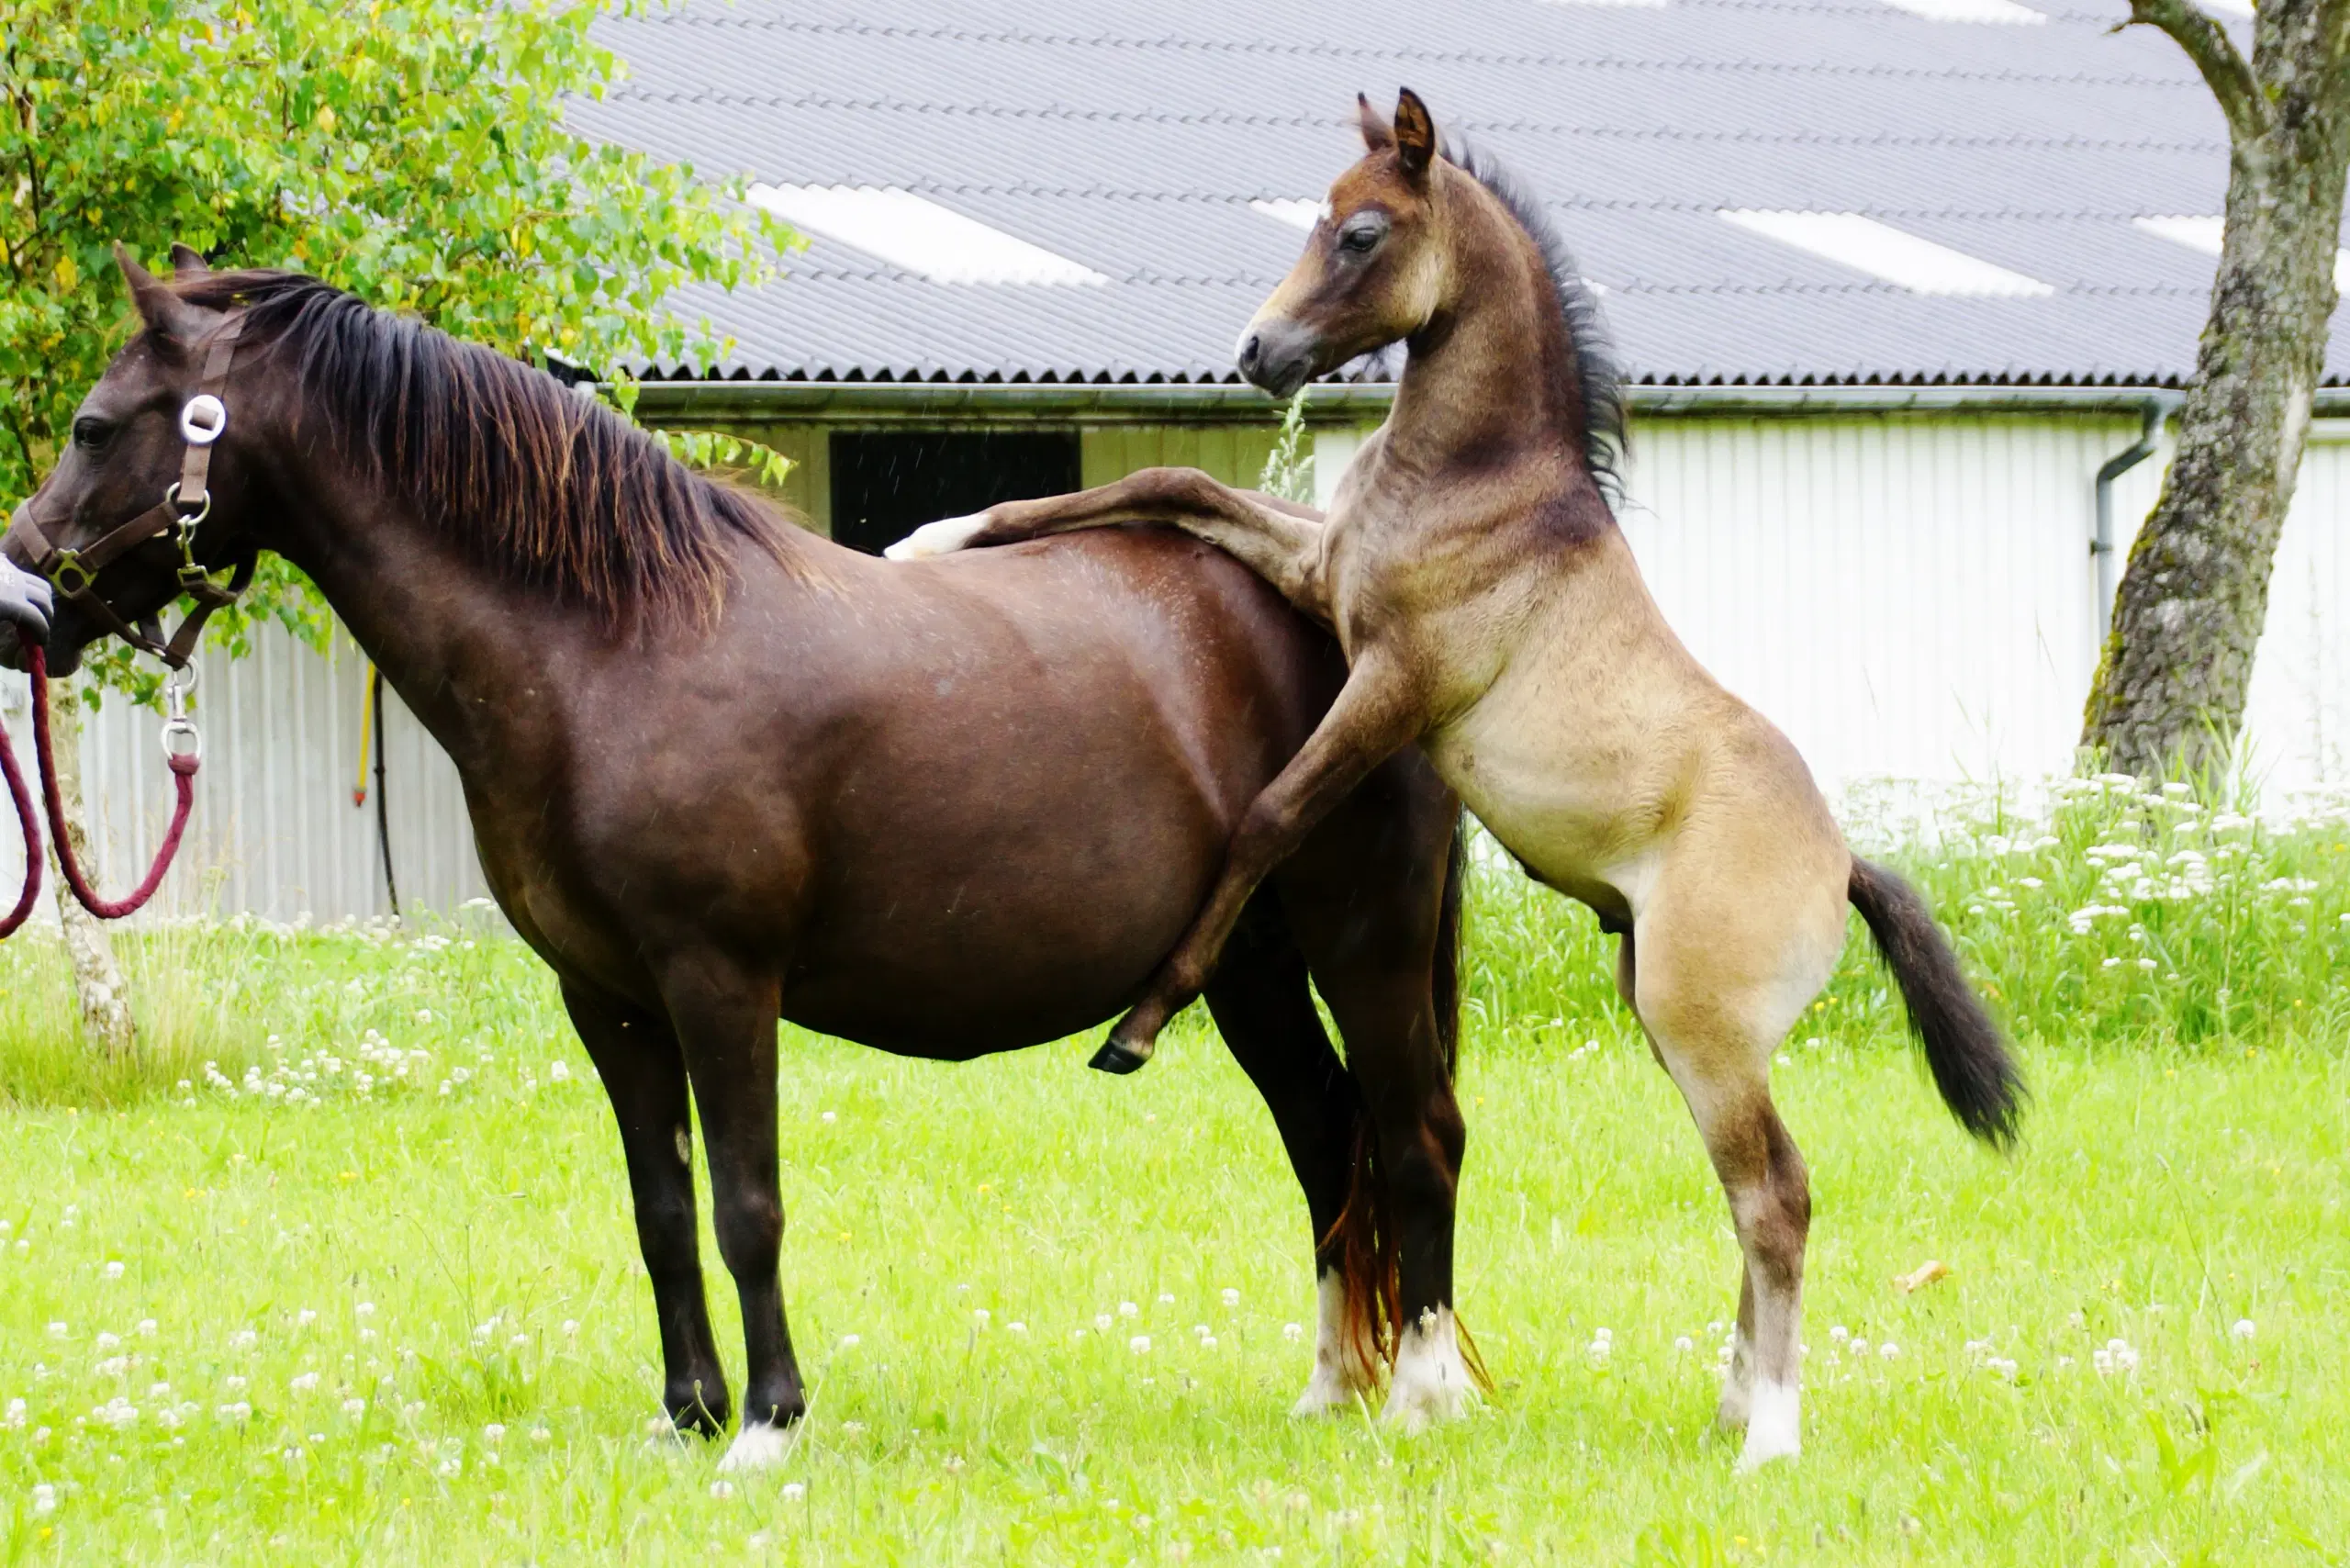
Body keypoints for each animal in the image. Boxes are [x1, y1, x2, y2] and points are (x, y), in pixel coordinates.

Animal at [5, 251, 1466, 1466]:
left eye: (94, 425)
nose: (22, 597)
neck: (613, 643)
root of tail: (1342, 588)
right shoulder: (607, 999)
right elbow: (662, 1210)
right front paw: (689, 1414)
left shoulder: (720, 981)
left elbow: (745, 1204)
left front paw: (767, 1426)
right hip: (1249, 964)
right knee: (1325, 1133)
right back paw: (1332, 1390)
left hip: (1366, 935)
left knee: (1415, 1134)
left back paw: (1424, 1393)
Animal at [888, 95, 2030, 1476]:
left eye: (1362, 232)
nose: (1259, 352)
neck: (1491, 487)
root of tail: (1841, 862)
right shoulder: (1317, 568)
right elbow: (1173, 483)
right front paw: (937, 535)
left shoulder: (1392, 681)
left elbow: (1267, 816)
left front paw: (1140, 1021)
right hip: (1669, 1021)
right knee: (1751, 1191)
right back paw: (1730, 1405)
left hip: (1701, 1028)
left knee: (1778, 1194)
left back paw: (1768, 1434)